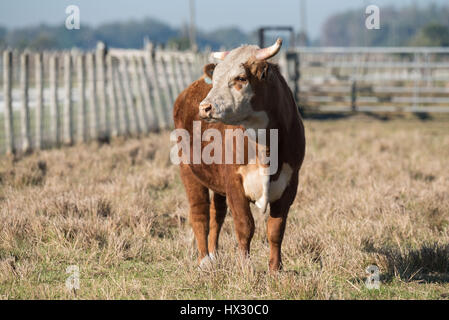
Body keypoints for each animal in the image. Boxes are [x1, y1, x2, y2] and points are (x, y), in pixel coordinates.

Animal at [172, 38, 304, 272]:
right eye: (215, 78)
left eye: (240, 78)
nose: (205, 107)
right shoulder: (234, 183)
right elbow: (245, 226)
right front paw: (245, 267)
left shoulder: (290, 184)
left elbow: (276, 229)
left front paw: (275, 269)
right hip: (188, 170)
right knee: (199, 213)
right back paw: (204, 260)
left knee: (217, 214)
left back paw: (214, 255)